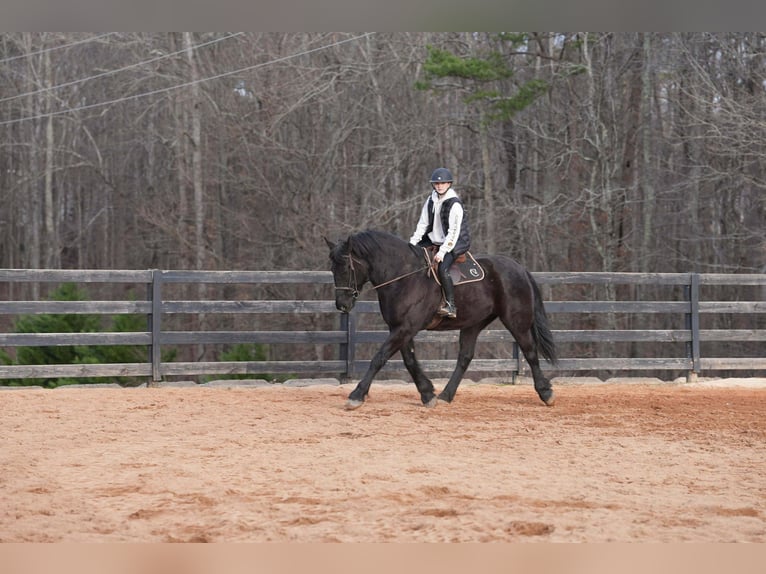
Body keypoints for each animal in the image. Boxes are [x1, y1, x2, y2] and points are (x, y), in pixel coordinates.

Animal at [325, 229, 557, 410]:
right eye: (332, 268)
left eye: (347, 267)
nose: (342, 305)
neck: (404, 276)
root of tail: (519, 268)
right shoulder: (401, 328)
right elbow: (410, 361)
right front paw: (428, 394)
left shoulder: (405, 328)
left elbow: (379, 358)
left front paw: (356, 396)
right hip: (473, 324)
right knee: (465, 357)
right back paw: (446, 395)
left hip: (516, 321)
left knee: (530, 351)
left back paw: (546, 393)